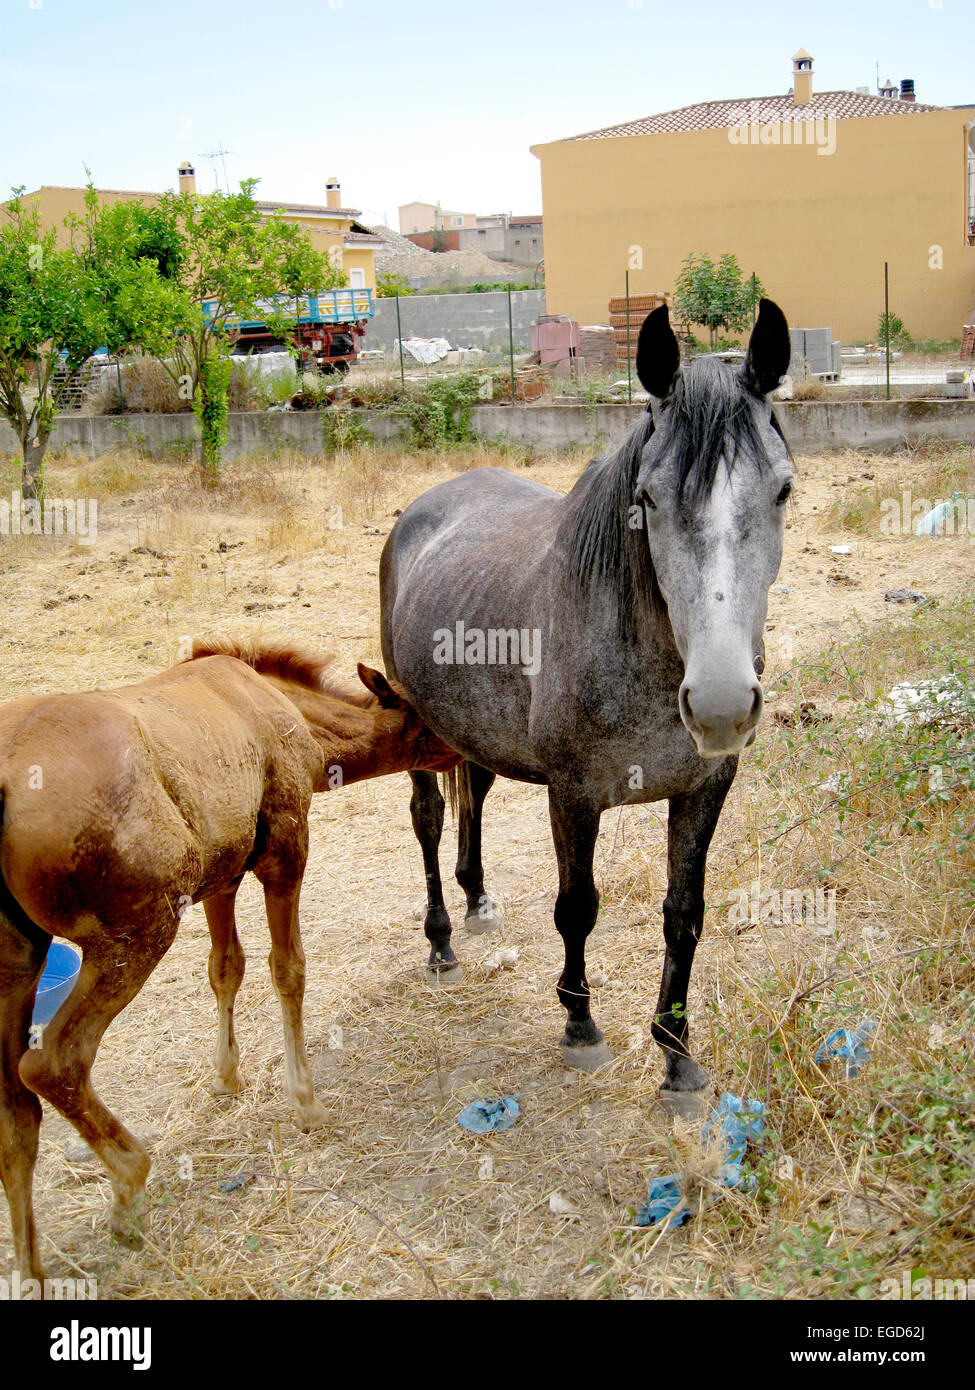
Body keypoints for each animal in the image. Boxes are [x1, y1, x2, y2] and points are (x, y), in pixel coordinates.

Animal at [0, 639, 460, 1285]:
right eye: (427, 715)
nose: (472, 756)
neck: (301, 727)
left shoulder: (222, 875)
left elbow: (226, 968)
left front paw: (226, 1076)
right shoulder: (285, 850)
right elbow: (287, 969)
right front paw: (305, 1100)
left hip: (17, 957)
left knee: (14, 1114)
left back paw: (31, 1270)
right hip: (135, 933)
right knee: (52, 1063)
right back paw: (128, 1187)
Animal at [380, 299, 793, 1093]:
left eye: (783, 490)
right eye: (647, 499)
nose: (721, 705)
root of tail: (427, 505)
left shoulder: (705, 787)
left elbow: (683, 913)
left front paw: (677, 1056)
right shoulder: (571, 795)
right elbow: (576, 910)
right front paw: (579, 1027)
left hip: (475, 730)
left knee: (473, 794)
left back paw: (477, 900)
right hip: (416, 724)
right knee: (427, 819)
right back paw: (441, 941)